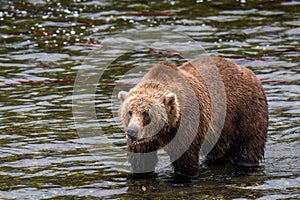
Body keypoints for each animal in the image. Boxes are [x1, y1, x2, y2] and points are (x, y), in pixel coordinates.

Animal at [117, 55, 268, 179]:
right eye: (129, 112)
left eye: (146, 114)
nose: (132, 132)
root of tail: (249, 72)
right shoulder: (145, 140)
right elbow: (141, 158)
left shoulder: (187, 124)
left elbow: (185, 159)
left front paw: (183, 178)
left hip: (246, 111)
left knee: (249, 144)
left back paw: (244, 167)